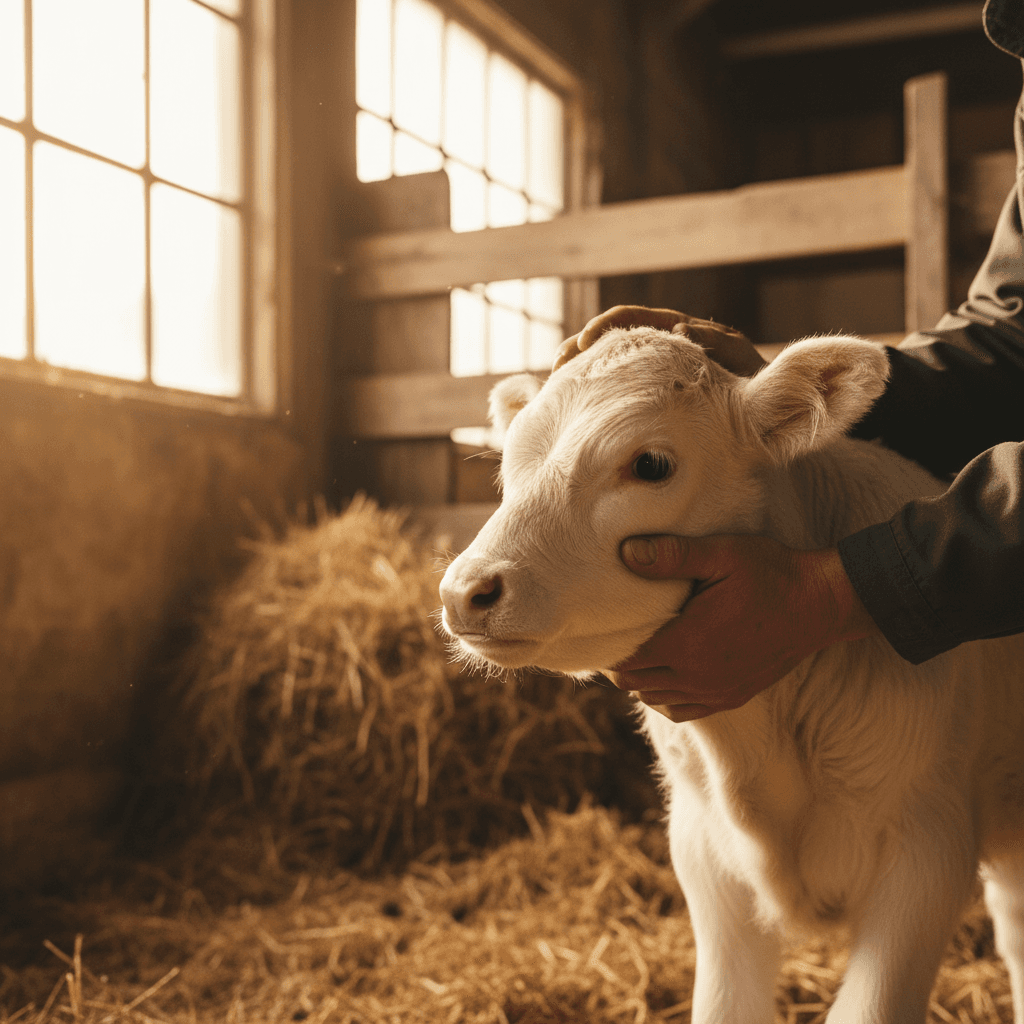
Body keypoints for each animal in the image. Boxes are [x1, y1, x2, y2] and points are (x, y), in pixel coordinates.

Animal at [438, 326, 1024, 1024]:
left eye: (652, 465)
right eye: (509, 465)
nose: (464, 591)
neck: (754, 750)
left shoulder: (926, 850)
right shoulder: (703, 849)